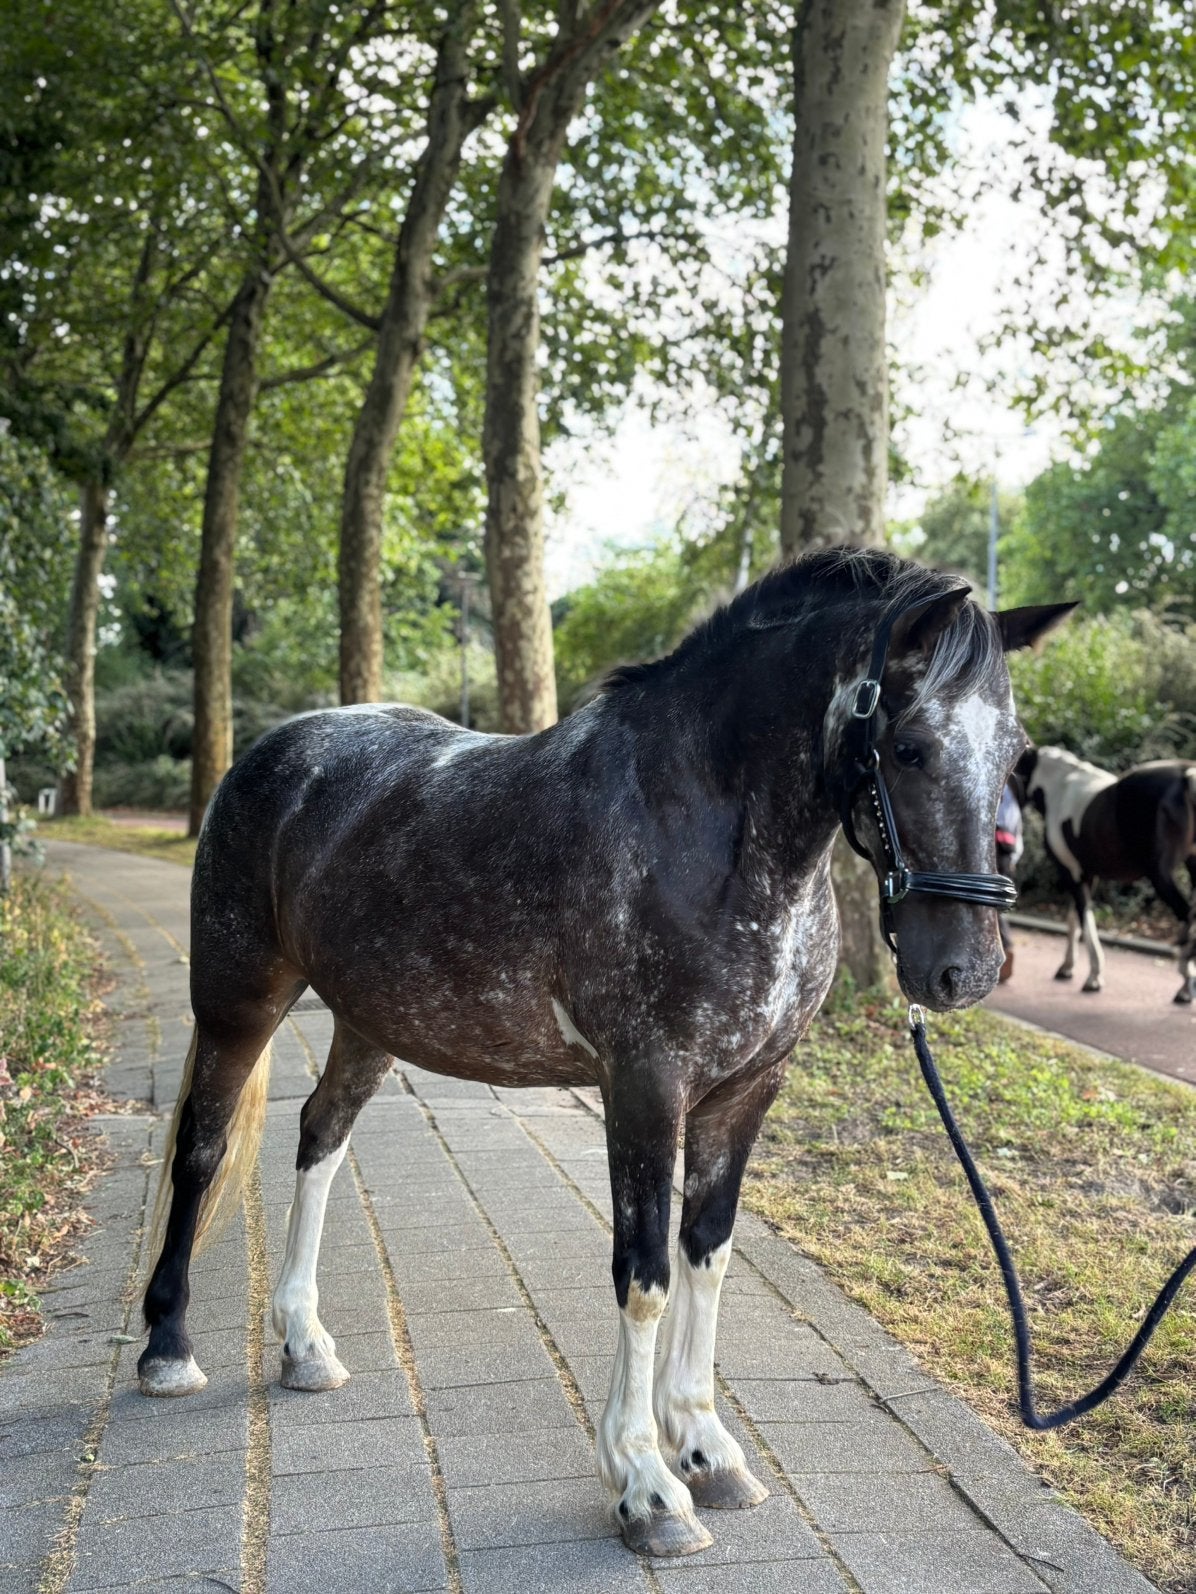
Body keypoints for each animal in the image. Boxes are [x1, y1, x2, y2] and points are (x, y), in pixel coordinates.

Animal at [138, 547, 1071, 1559]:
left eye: (1016, 753)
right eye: (910, 748)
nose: (965, 969)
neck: (705, 827)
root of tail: (276, 750)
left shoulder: (747, 1091)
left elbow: (707, 1255)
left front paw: (706, 1447)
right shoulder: (645, 1088)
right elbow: (645, 1276)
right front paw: (648, 1488)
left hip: (370, 1022)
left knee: (320, 1135)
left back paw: (305, 1343)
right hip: (238, 1000)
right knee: (202, 1147)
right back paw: (167, 1349)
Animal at [1018, 745, 1196, 1003]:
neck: (1060, 787)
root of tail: (1187, 776)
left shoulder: (1071, 872)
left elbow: (1085, 919)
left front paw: (1093, 976)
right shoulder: (1086, 874)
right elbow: (1074, 919)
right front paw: (1067, 967)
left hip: (1160, 875)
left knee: (1187, 917)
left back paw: (1185, 983)